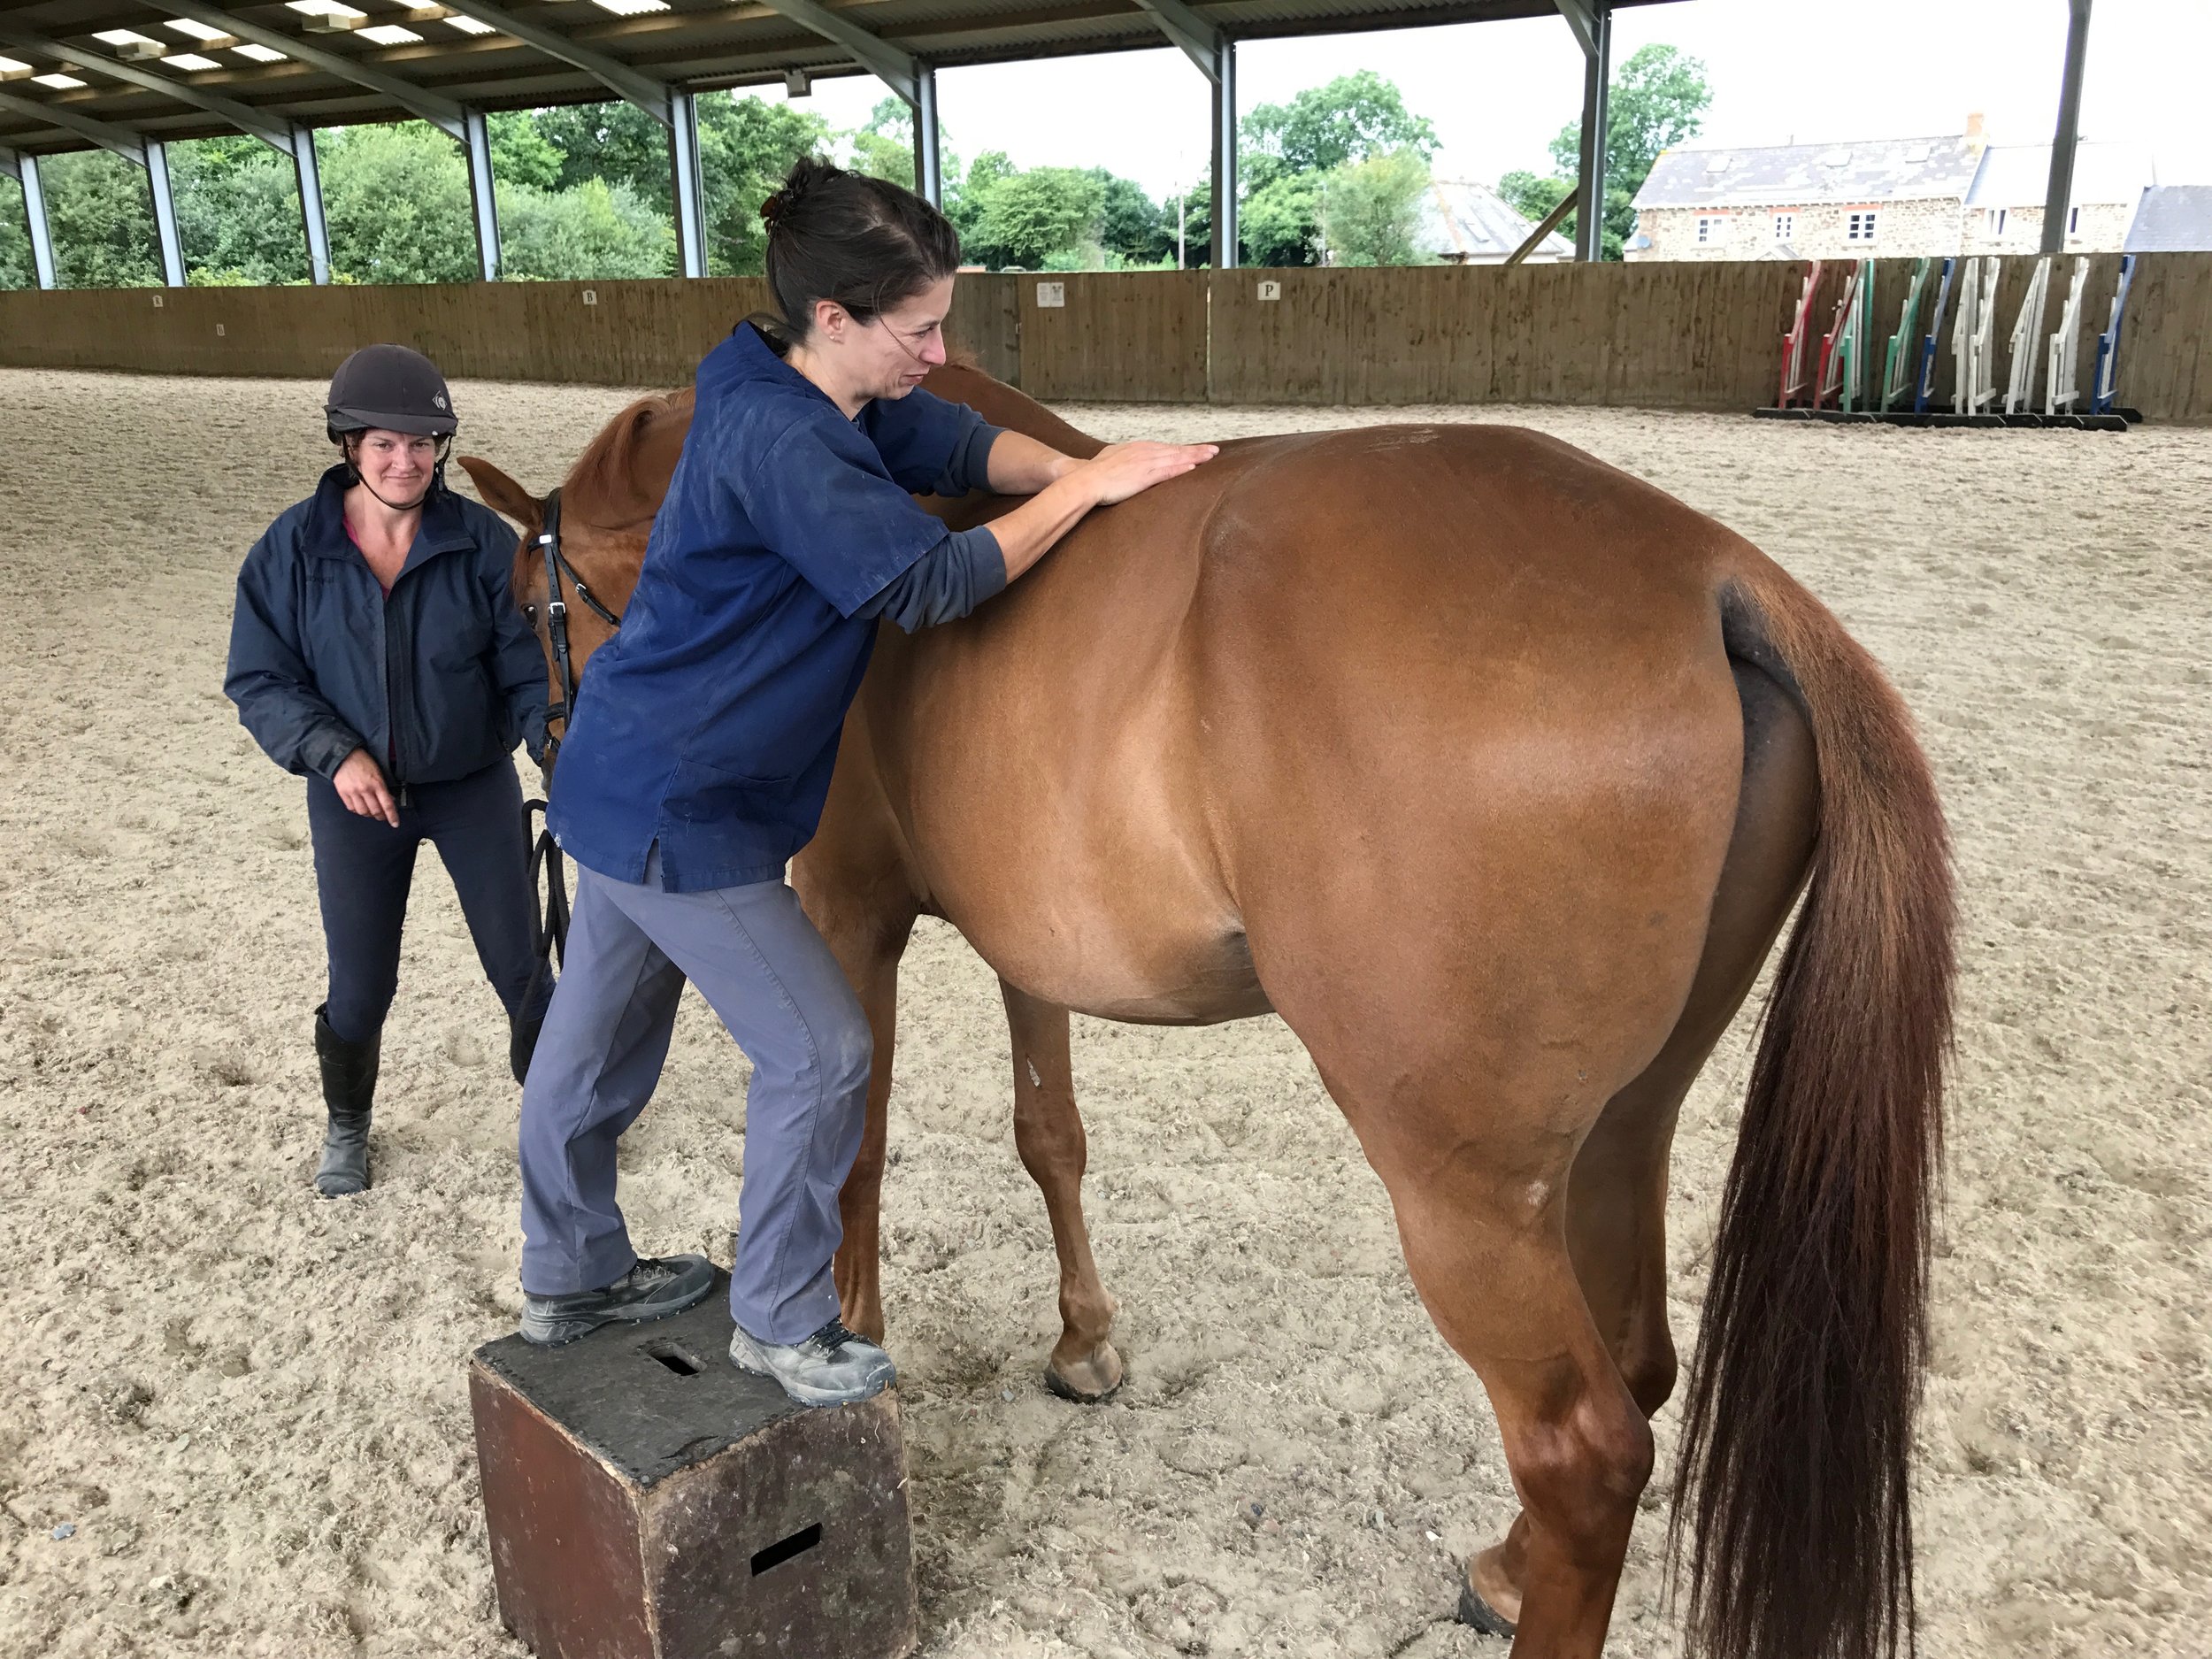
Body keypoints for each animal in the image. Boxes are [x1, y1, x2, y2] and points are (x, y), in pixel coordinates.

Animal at [459, 360, 1952, 1659]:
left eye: (540, 600)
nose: (553, 751)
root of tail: (1712, 575)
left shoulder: (845, 912)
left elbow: (856, 1152)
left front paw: (850, 1339)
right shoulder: (1031, 940)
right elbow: (1049, 1134)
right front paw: (1083, 1342)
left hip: (1464, 1187)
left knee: (1582, 1447)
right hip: (1613, 1137)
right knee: (1638, 1362)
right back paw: (1504, 1566)